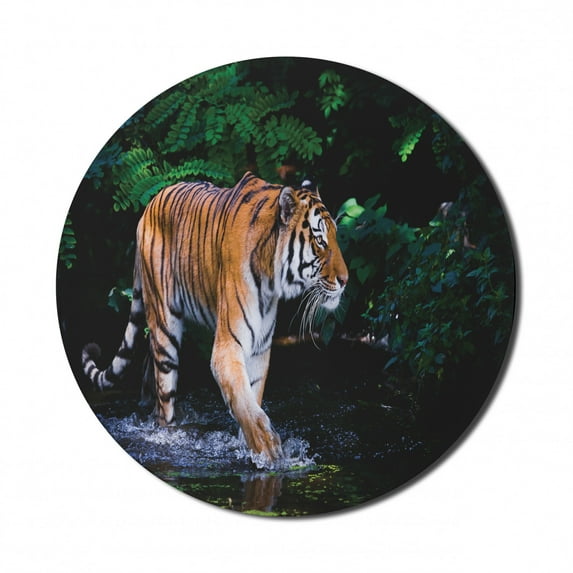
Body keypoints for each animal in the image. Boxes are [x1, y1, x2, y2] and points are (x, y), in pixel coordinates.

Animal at [82, 171, 348, 465]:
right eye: (320, 240)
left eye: (335, 237)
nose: (345, 280)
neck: (271, 278)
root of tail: (149, 206)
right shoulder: (228, 346)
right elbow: (244, 402)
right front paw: (268, 449)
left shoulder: (259, 348)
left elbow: (251, 397)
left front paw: (251, 446)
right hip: (165, 327)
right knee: (165, 401)